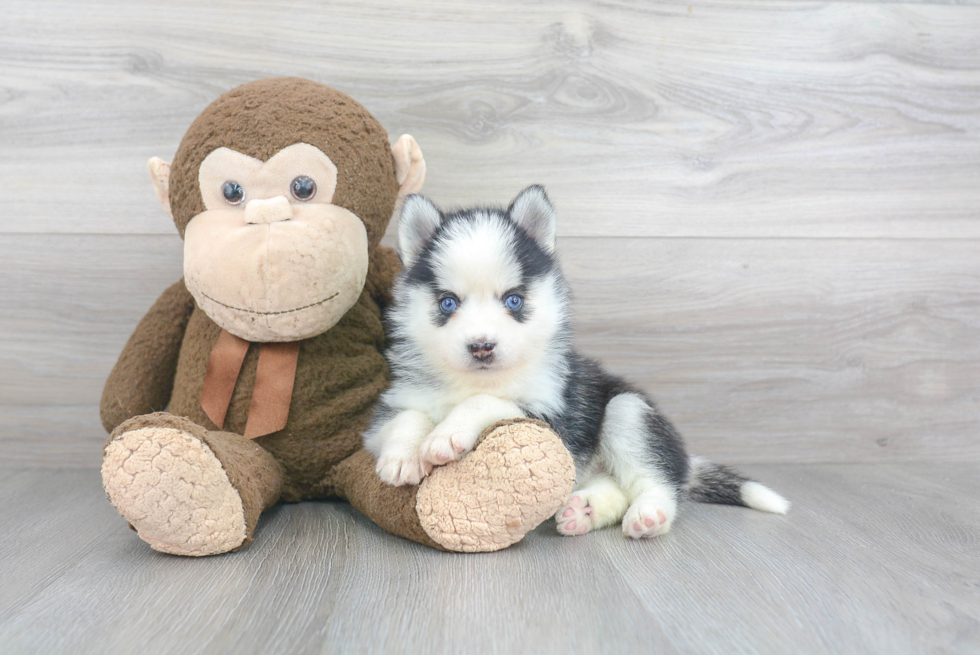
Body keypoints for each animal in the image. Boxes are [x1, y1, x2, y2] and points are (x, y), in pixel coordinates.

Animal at [366, 187, 788, 540]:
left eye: (514, 300)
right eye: (448, 303)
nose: (482, 346)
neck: (478, 379)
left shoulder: (553, 416)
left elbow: (486, 402)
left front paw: (447, 433)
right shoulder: (392, 407)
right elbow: (405, 417)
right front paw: (402, 456)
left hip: (627, 410)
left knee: (656, 481)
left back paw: (650, 514)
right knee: (615, 486)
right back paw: (584, 510)